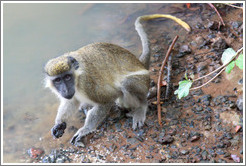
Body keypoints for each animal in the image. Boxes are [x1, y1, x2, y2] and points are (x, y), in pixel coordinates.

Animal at [44, 14, 190, 147]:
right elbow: (71, 101)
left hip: (143, 81)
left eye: (67, 77)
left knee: (127, 84)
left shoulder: (88, 84)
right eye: (58, 80)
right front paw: (59, 124)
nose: (64, 89)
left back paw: (141, 107)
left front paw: (85, 129)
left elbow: (106, 101)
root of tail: (141, 64)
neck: (77, 78)